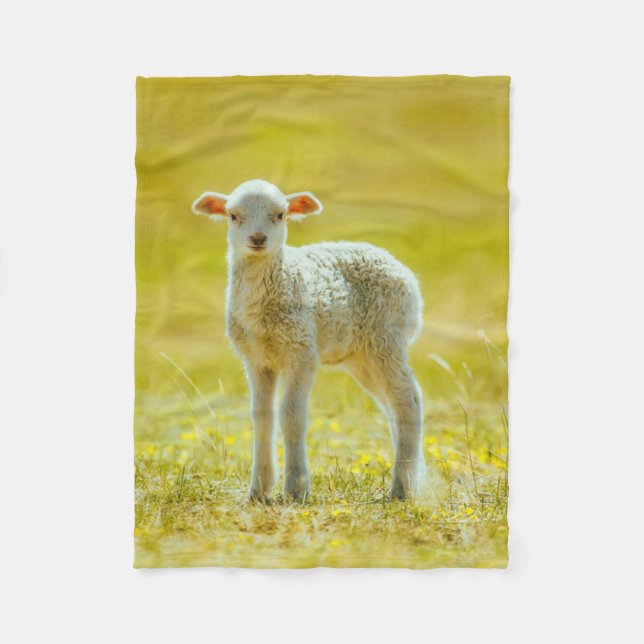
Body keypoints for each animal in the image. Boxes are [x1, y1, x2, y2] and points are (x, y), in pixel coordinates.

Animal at [192, 179, 425, 502]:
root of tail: (399, 267)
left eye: (281, 215)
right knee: (392, 404)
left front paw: (296, 489)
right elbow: (261, 418)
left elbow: (291, 417)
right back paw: (410, 477)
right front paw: (259, 490)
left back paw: (400, 489)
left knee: (407, 400)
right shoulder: (256, 358)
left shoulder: (301, 351)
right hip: (360, 355)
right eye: (233, 216)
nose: (258, 238)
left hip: (386, 338)